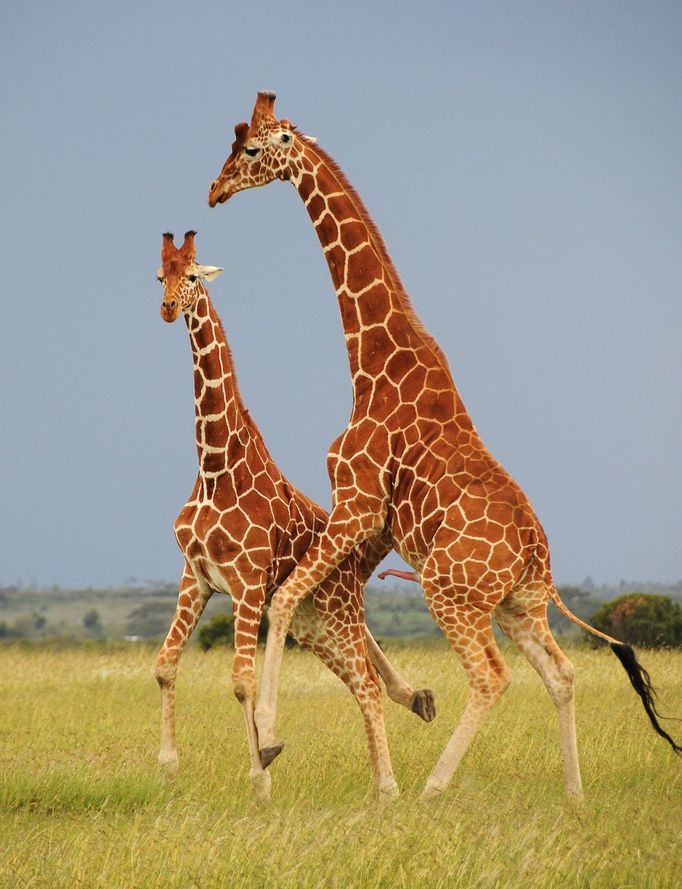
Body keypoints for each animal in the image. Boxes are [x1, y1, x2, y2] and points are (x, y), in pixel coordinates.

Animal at [153, 232, 436, 800]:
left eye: (192, 275)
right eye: (158, 276)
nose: (169, 308)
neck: (215, 468)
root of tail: (356, 566)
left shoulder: (244, 580)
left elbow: (240, 680)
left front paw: (260, 778)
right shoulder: (196, 574)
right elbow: (166, 665)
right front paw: (168, 766)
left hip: (335, 615)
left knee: (366, 684)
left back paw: (389, 786)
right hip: (312, 625)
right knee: (363, 681)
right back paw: (393, 755)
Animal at [207, 92, 680, 796]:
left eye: (252, 149)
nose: (214, 191)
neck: (372, 361)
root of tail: (536, 560)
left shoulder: (356, 503)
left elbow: (286, 600)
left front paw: (268, 741)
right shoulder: (374, 520)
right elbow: (314, 606)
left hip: (450, 592)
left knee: (493, 676)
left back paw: (433, 788)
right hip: (517, 607)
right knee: (561, 672)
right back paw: (573, 792)